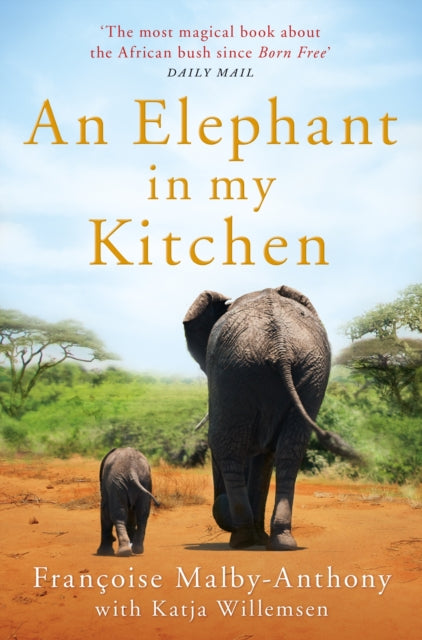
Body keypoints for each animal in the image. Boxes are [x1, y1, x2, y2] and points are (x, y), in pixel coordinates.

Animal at [183, 285, 359, 551]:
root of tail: (280, 347)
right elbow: (265, 455)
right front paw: (261, 538)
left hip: (236, 369)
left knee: (228, 445)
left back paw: (243, 539)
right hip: (308, 371)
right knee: (290, 451)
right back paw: (280, 540)